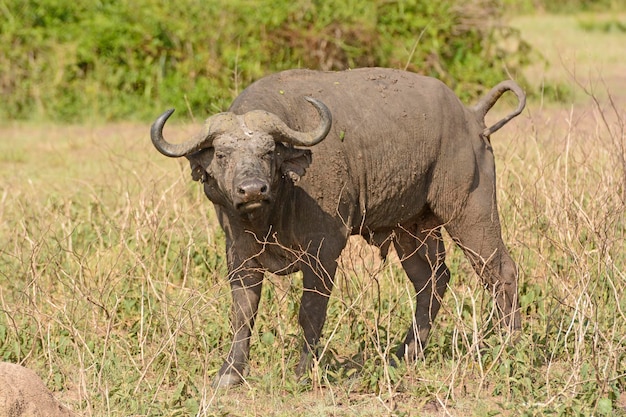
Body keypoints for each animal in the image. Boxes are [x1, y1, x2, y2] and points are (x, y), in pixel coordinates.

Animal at [150, 66, 520, 386]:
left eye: (268, 152)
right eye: (222, 155)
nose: (253, 189)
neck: (275, 208)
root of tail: (471, 116)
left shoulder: (323, 252)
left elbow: (310, 312)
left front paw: (303, 371)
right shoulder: (239, 254)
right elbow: (243, 313)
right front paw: (229, 373)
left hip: (470, 209)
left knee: (500, 270)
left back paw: (508, 344)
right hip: (411, 227)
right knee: (432, 279)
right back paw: (407, 353)